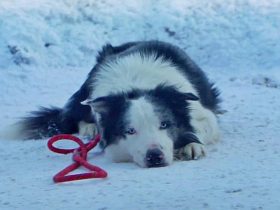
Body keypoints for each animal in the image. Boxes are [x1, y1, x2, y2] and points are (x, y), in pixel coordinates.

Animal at [18, 40, 221, 167]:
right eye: (130, 131)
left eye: (164, 124)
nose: (154, 156)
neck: (136, 86)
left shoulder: (204, 113)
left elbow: (200, 126)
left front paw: (191, 144)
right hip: (85, 91)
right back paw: (90, 128)